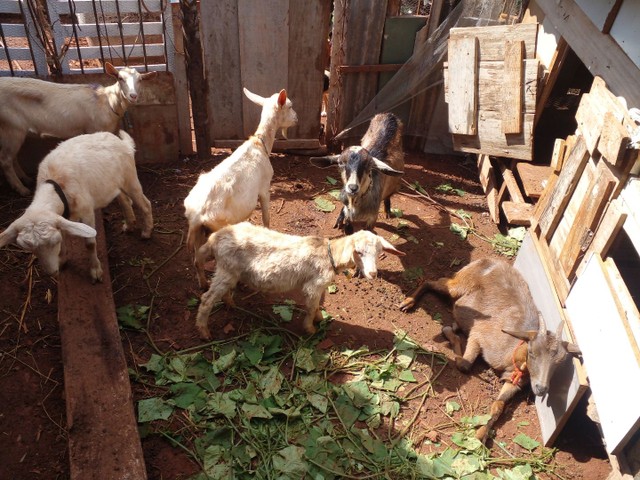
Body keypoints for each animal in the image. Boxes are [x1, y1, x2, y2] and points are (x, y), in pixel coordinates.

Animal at [0, 62, 155, 196]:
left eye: (140, 79)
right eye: (120, 78)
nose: (133, 96)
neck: (107, 101)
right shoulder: (94, 129)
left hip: (12, 131)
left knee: (12, 157)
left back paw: (25, 179)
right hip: (12, 127)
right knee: (5, 161)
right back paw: (21, 189)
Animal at [0, 129, 154, 284]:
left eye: (54, 242)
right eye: (31, 249)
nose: (52, 272)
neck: (57, 184)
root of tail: (122, 142)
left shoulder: (87, 211)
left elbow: (90, 244)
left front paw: (95, 271)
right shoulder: (61, 217)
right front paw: (62, 260)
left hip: (130, 178)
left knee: (145, 204)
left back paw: (147, 232)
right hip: (113, 184)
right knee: (124, 200)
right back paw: (129, 225)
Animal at [182, 86, 298, 288]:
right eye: (289, 106)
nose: (297, 118)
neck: (259, 144)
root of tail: (196, 215)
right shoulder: (265, 188)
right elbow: (266, 217)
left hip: (198, 231)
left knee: (197, 260)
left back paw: (203, 284)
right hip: (219, 226)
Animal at [195, 222, 404, 340]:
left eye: (379, 252)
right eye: (358, 252)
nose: (373, 273)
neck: (329, 255)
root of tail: (214, 238)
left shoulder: (320, 287)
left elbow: (317, 306)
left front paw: (320, 318)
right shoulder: (313, 286)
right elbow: (311, 308)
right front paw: (310, 329)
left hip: (230, 272)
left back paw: (230, 304)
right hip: (227, 269)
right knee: (206, 299)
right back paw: (204, 332)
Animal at [400, 258, 580, 442]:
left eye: (559, 363)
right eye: (532, 352)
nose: (541, 388)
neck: (512, 353)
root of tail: (489, 260)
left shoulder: (514, 380)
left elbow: (499, 405)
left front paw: (481, 434)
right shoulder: (479, 335)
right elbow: (464, 364)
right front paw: (449, 331)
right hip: (459, 284)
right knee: (432, 281)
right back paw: (408, 302)